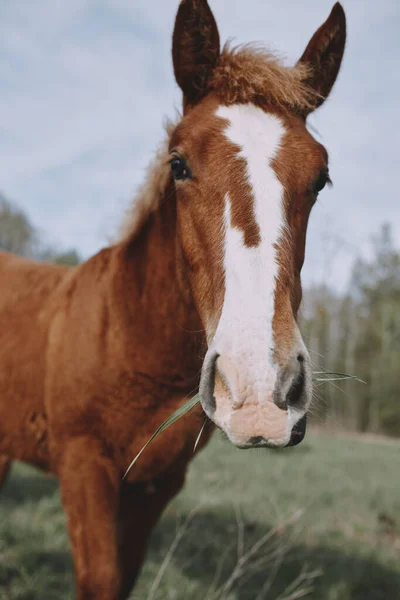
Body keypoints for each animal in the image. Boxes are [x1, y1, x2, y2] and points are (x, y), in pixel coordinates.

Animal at [0, 2, 344, 596]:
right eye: (178, 163)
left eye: (320, 178)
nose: (259, 394)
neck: (127, 335)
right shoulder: (83, 467)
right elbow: (99, 579)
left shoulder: (155, 487)